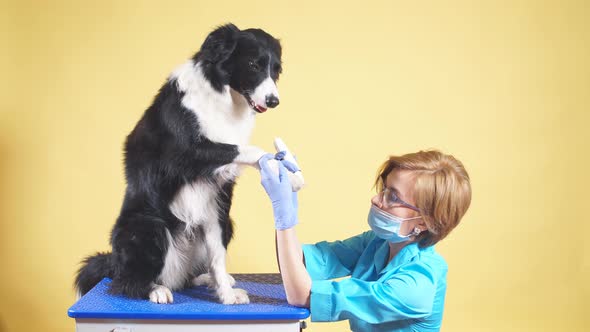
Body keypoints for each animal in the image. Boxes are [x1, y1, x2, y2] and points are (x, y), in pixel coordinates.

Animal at [75, 23, 290, 304]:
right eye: (254, 64)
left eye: (276, 70)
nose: (274, 101)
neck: (222, 96)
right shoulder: (182, 154)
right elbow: (245, 149)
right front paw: (275, 164)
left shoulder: (216, 203)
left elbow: (218, 256)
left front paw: (226, 295)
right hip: (149, 227)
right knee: (126, 282)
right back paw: (155, 289)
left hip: (225, 225)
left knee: (189, 274)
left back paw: (205, 280)